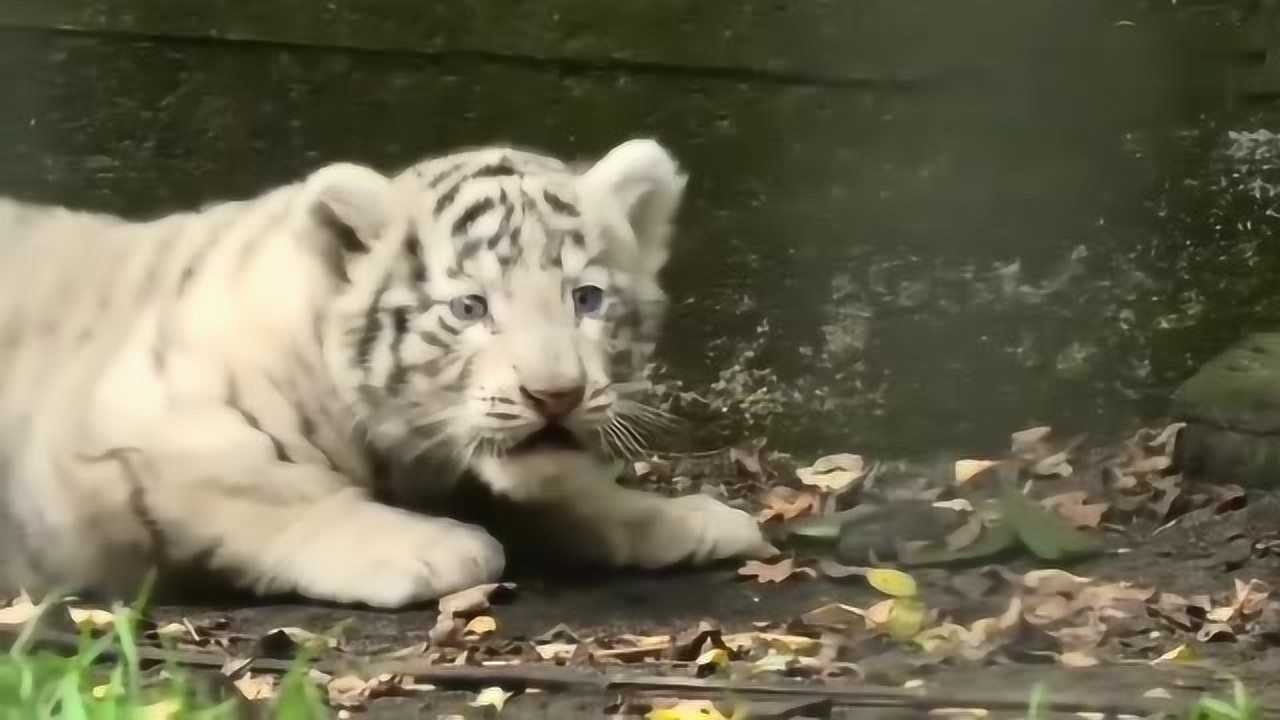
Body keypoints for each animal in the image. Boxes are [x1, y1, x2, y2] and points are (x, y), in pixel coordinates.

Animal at [0, 139, 777, 608]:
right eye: (470, 307)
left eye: (585, 299)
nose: (555, 395)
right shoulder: (128, 432)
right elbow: (280, 491)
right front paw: (442, 548)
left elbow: (577, 495)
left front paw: (693, 518)